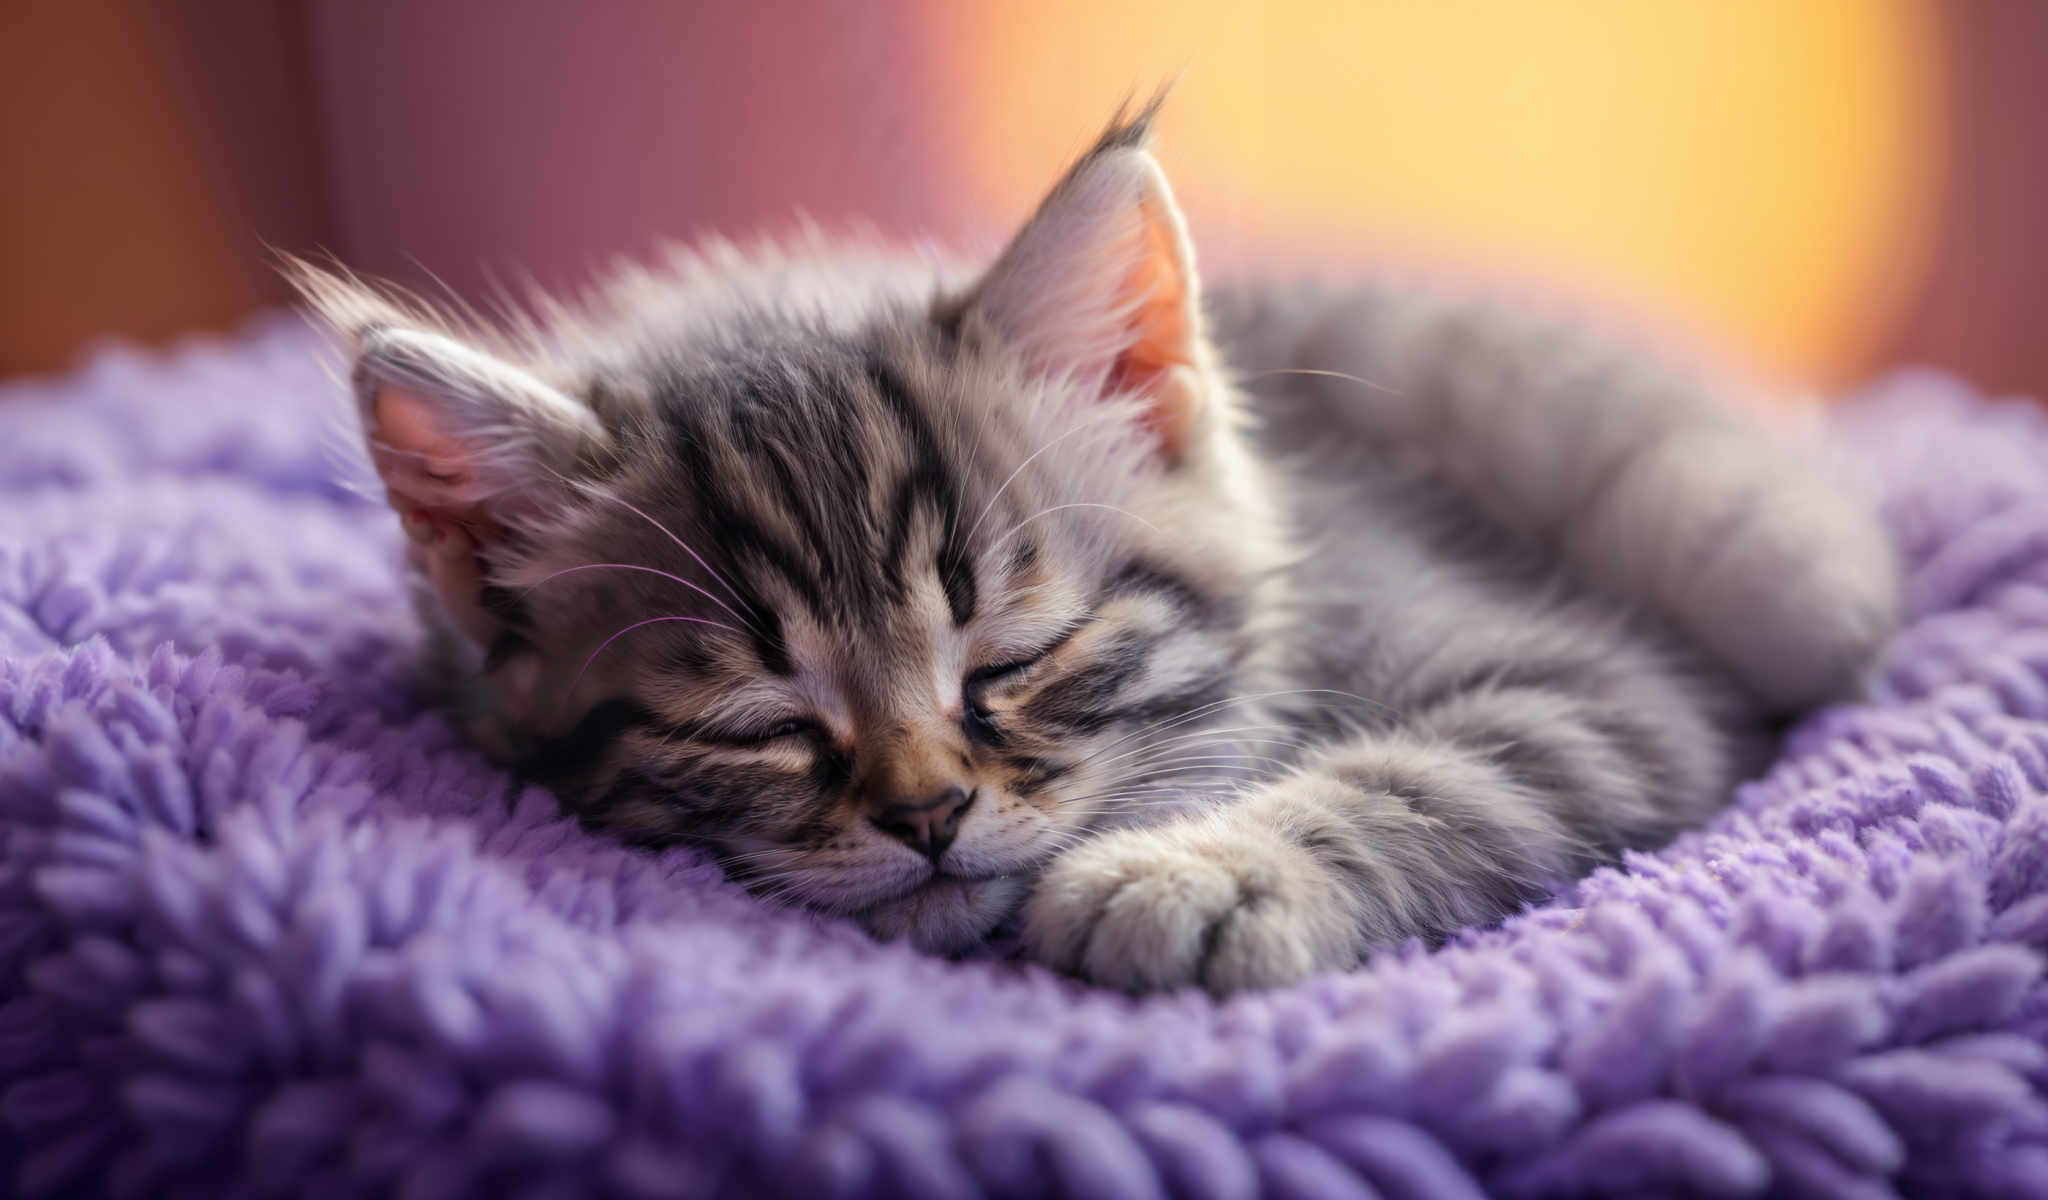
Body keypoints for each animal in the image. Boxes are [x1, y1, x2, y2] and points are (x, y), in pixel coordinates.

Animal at [296, 98, 1892, 991]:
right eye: (758, 724)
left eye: (1015, 657)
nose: (928, 815)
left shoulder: (1604, 687)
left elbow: (1434, 777)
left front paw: (1201, 879)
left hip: (1735, 549)